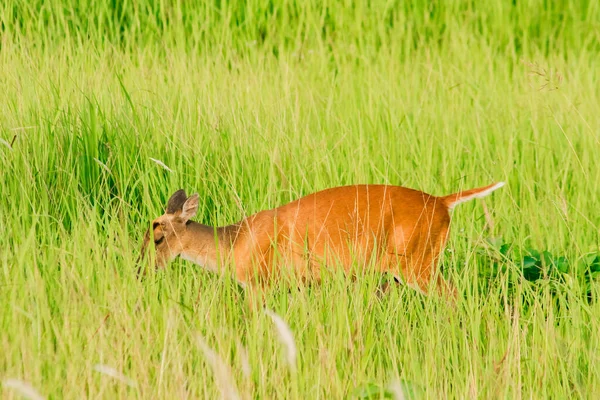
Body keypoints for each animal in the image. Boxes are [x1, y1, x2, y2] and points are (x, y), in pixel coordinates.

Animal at [136, 181, 502, 304]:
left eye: (158, 236)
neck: (233, 243)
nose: (140, 269)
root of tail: (443, 202)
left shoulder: (259, 284)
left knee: (455, 299)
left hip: (418, 262)